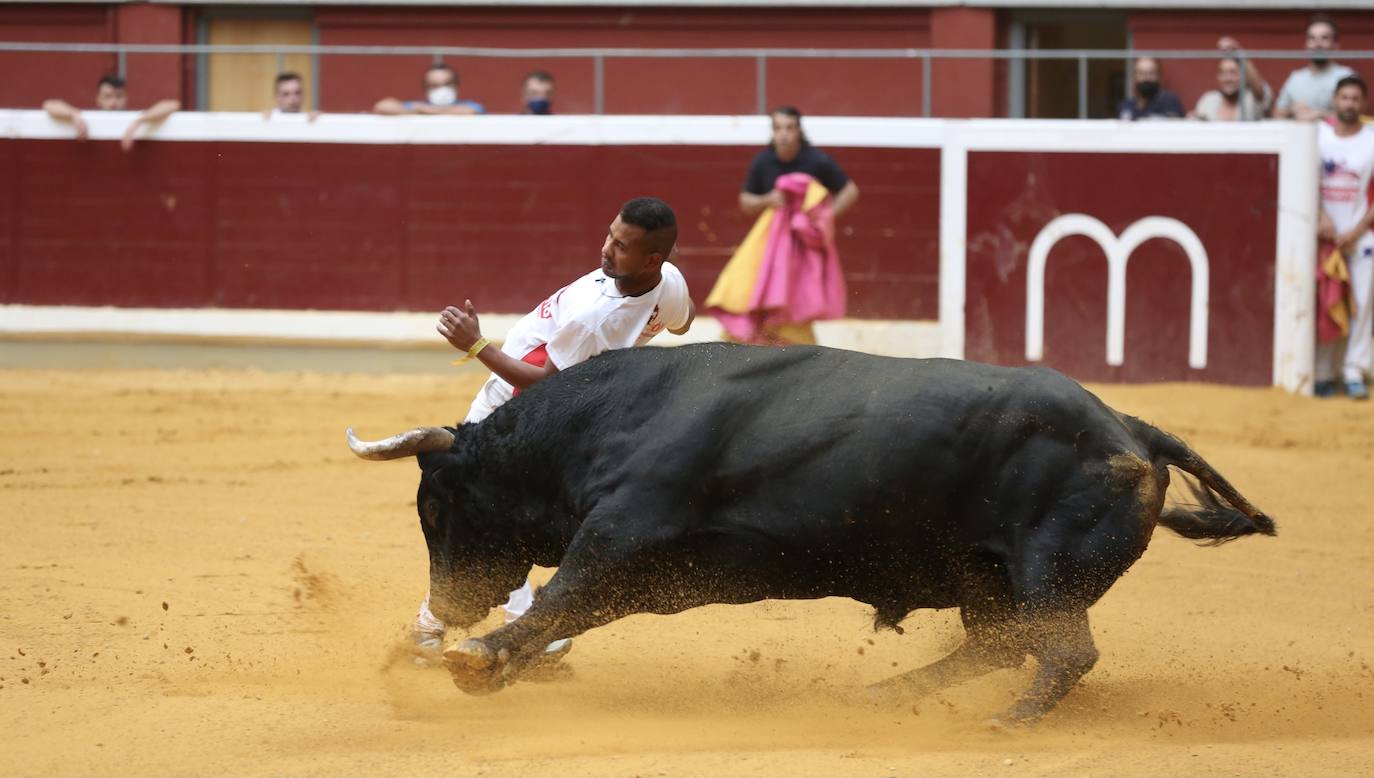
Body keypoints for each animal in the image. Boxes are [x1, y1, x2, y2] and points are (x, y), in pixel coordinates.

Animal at [348, 343, 1269, 725]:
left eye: (436, 506)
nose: (446, 608)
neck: (611, 417)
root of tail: (1131, 431)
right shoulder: (652, 570)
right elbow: (568, 610)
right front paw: (494, 664)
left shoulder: (624, 532)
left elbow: (561, 594)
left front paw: (477, 659)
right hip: (988, 576)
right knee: (1002, 644)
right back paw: (879, 697)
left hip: (1049, 569)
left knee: (1062, 652)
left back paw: (1006, 723)